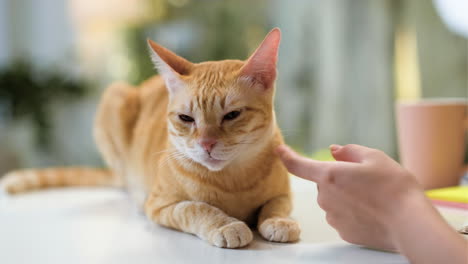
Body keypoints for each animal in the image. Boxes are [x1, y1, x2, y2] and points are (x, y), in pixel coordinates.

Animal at [0, 27, 300, 249]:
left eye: (232, 115)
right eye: (186, 118)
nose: (206, 144)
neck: (233, 182)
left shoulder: (283, 193)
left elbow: (276, 205)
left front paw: (278, 221)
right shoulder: (160, 205)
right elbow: (196, 208)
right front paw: (227, 224)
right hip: (114, 98)